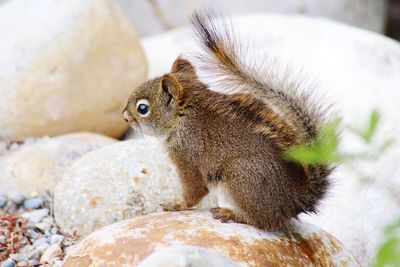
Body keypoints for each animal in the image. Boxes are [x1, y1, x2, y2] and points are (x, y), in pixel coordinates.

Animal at [122, 12, 334, 230]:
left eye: (143, 108)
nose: (125, 117)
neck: (184, 117)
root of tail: (296, 200)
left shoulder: (187, 156)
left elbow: (194, 190)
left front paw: (176, 204)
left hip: (240, 177)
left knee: (262, 221)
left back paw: (232, 213)